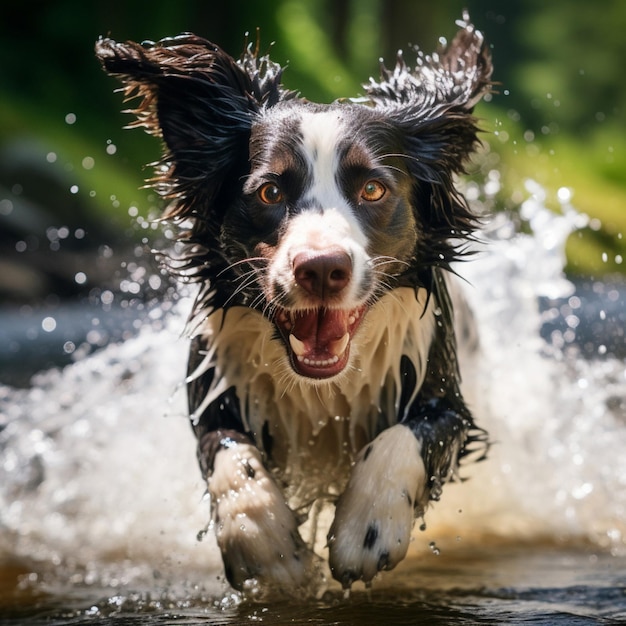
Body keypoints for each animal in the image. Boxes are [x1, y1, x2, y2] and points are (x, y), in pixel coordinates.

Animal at [95, 13, 490, 588]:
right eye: (269, 193)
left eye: (373, 189)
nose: (322, 269)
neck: (320, 390)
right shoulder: (212, 388)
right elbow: (227, 450)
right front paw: (268, 549)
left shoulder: (446, 398)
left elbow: (407, 435)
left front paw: (365, 530)